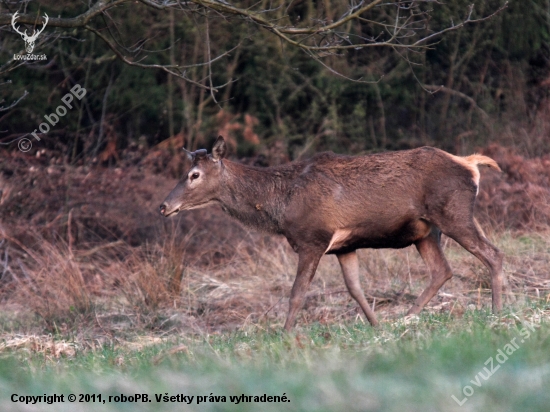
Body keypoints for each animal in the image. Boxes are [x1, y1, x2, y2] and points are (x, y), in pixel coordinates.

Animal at [158, 137, 504, 330]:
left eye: (194, 175)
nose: (163, 206)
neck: (279, 207)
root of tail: (470, 164)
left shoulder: (312, 239)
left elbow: (297, 293)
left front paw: (285, 334)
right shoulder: (343, 247)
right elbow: (355, 290)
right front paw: (377, 326)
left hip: (453, 215)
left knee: (493, 254)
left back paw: (497, 313)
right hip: (427, 232)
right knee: (442, 270)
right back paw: (406, 317)